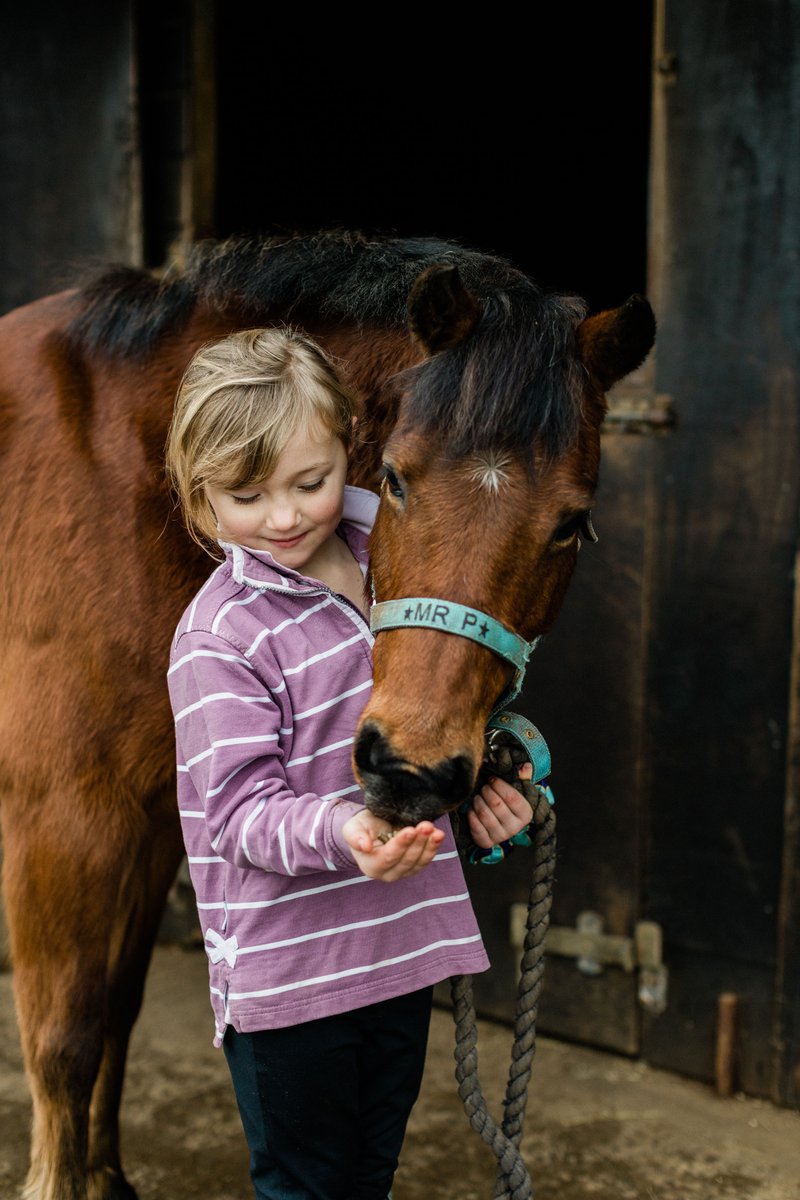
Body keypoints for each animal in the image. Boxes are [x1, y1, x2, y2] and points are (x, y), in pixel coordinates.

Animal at [0, 228, 655, 1200]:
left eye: (571, 524)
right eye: (393, 478)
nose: (410, 768)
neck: (125, 490)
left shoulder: (156, 819)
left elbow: (117, 1012)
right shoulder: (62, 820)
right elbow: (65, 1048)